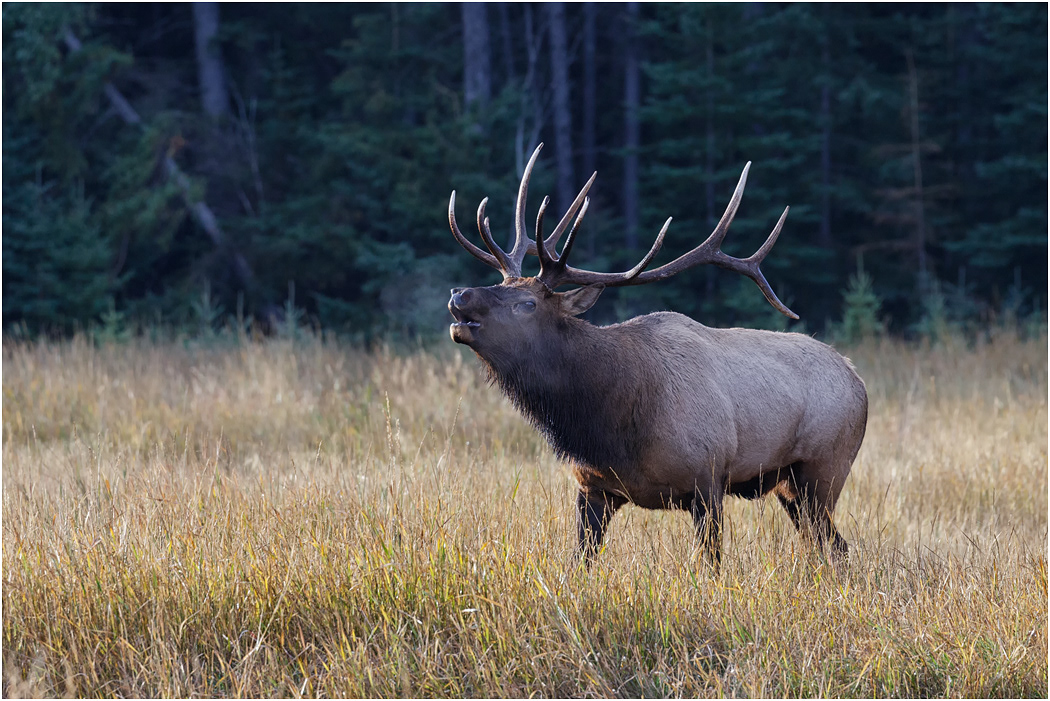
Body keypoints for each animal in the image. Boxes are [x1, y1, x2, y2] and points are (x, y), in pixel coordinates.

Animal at [447, 144, 867, 566]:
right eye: (502, 283)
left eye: (527, 303)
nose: (459, 294)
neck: (609, 425)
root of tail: (857, 379)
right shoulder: (592, 488)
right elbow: (581, 560)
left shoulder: (707, 480)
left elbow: (711, 564)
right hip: (789, 486)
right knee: (826, 545)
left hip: (824, 469)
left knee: (838, 546)